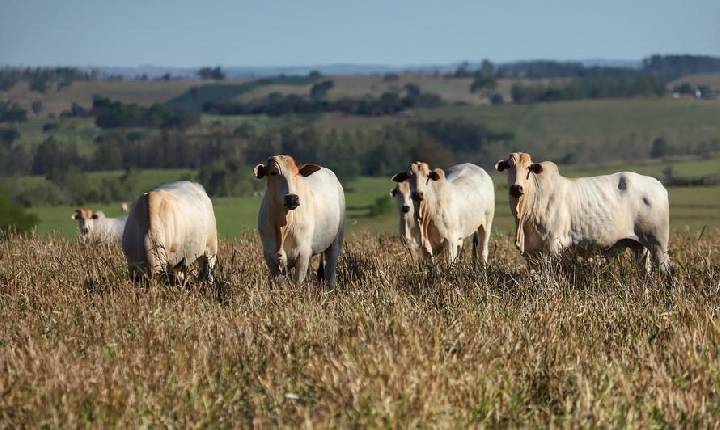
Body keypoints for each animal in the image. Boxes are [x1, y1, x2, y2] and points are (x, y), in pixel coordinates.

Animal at [255, 155, 344, 286]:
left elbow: (297, 283)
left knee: (330, 275)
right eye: (273, 172)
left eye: (296, 174)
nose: (292, 198)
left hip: (336, 242)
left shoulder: (302, 255)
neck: (284, 224)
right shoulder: (270, 258)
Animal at [496, 151, 668, 272]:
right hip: (640, 247)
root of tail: (657, 183)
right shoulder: (530, 254)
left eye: (529, 168)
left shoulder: (553, 246)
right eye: (509, 166)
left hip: (659, 245)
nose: (517, 188)